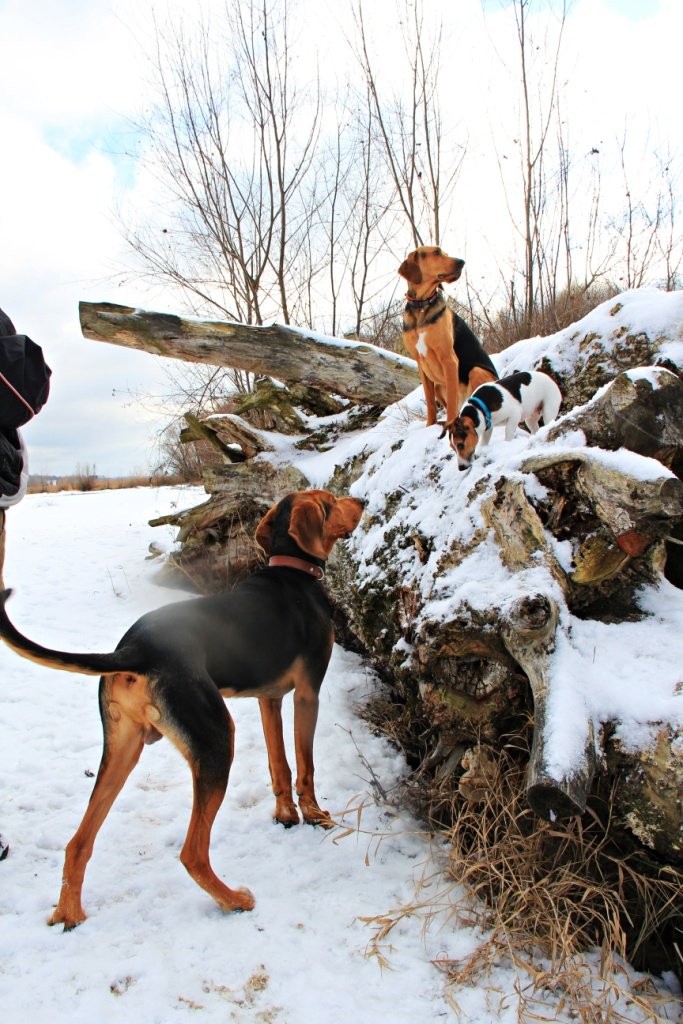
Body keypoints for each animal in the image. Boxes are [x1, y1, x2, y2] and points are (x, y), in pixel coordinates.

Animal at [397, 245, 499, 425]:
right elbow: (430, 402)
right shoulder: (421, 364)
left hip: (476, 371)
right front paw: (430, 425)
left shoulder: (449, 359)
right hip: (438, 386)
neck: (422, 306)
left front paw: (450, 425)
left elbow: (451, 401)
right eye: (437, 252)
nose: (462, 262)